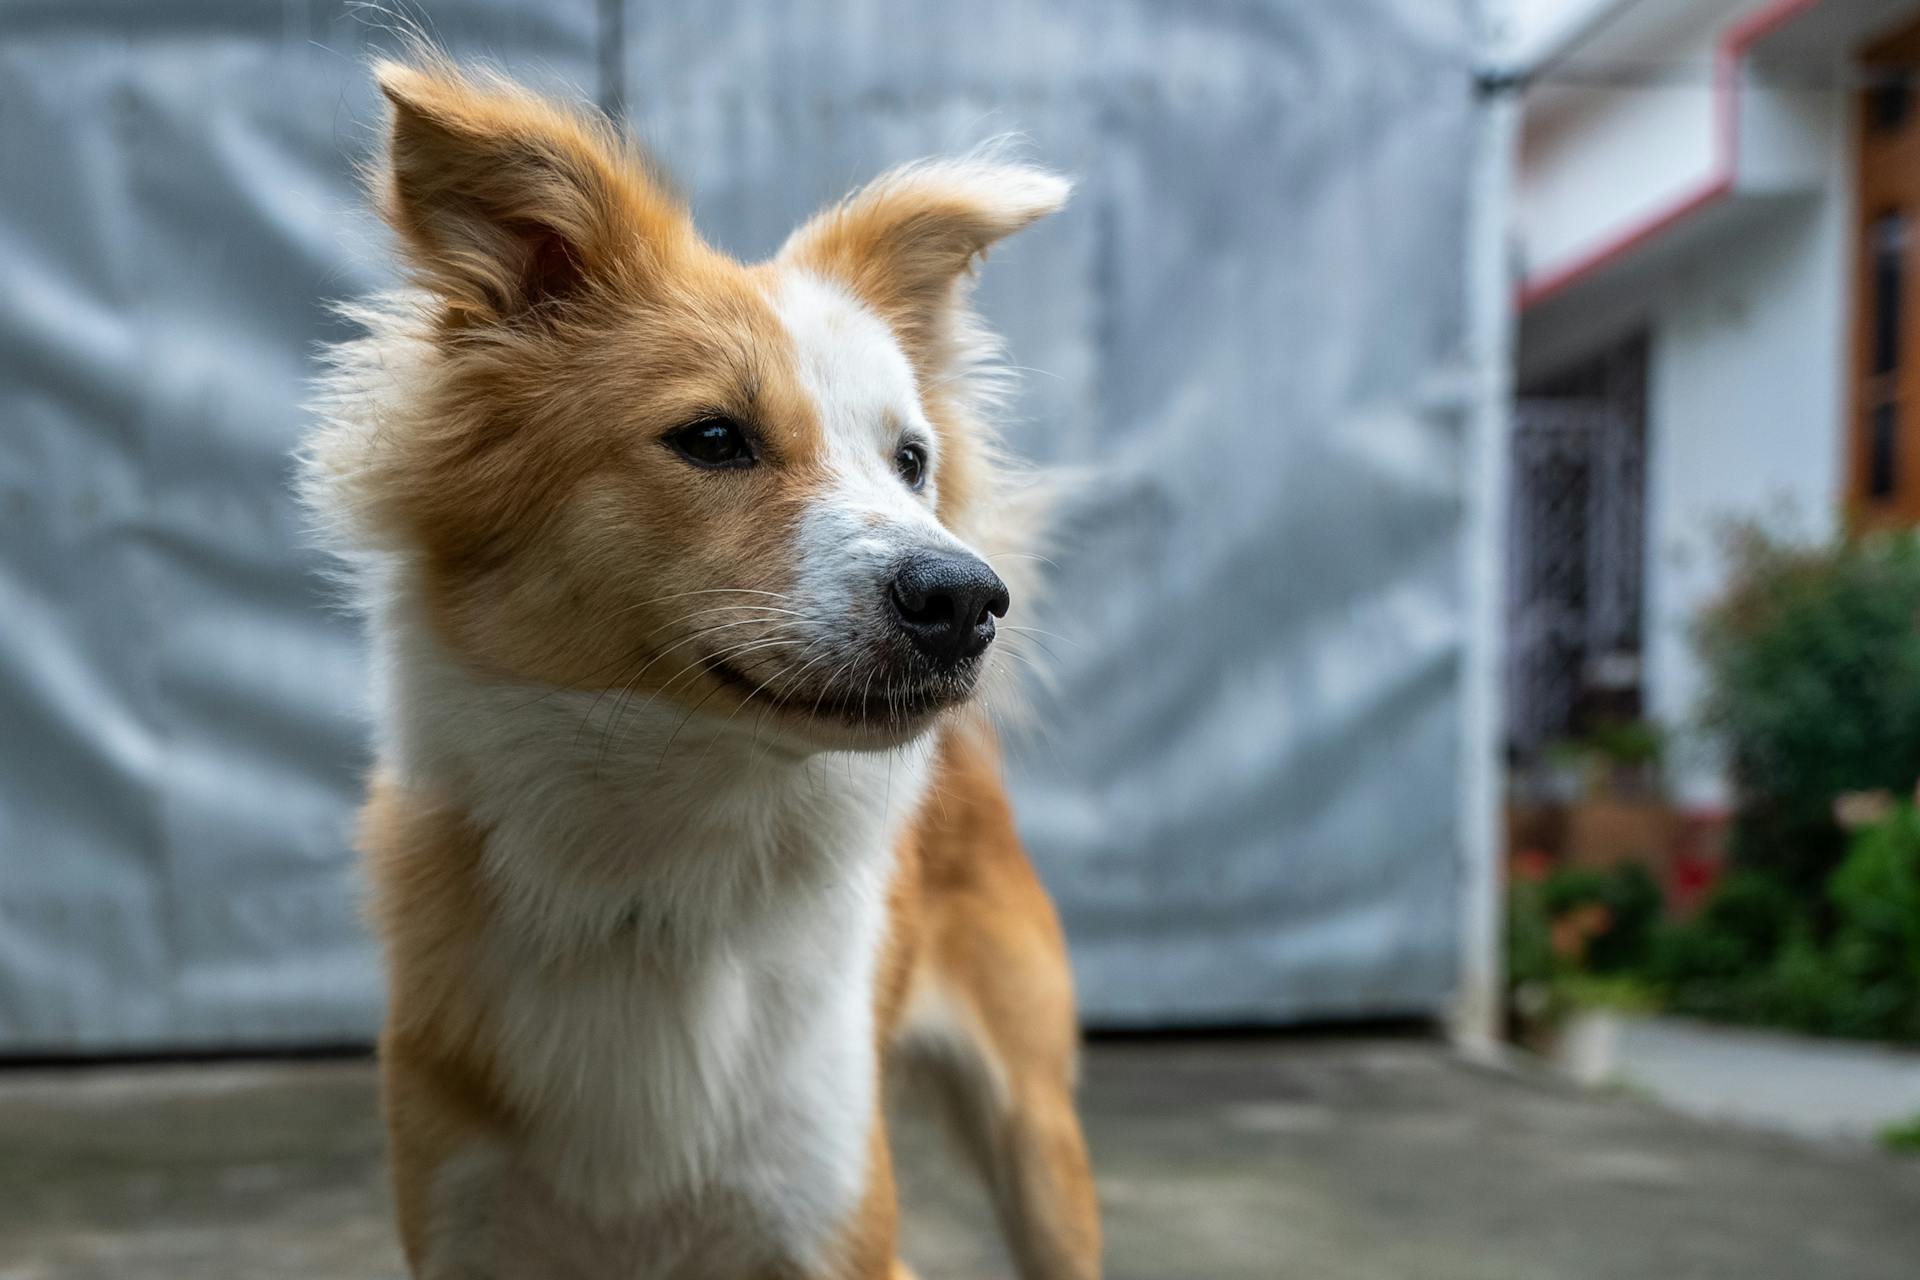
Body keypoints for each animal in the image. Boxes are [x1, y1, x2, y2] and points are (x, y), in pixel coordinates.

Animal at [307, 52, 1105, 1280]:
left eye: (910, 460)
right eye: (715, 439)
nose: (969, 602)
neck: (667, 866)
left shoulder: (835, 1226)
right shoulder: (464, 1223)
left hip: (1035, 1131)